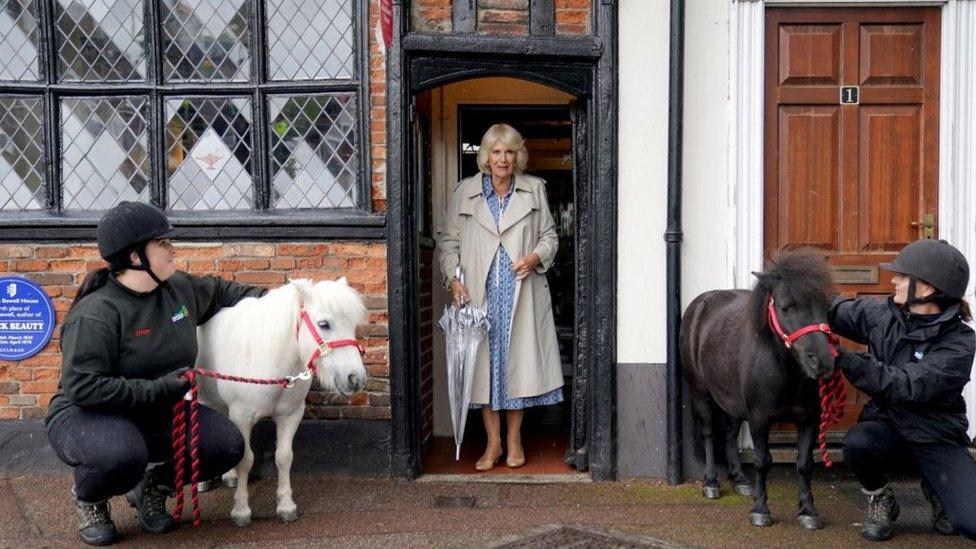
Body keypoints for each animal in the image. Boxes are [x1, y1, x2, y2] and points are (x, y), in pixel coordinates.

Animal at [196, 278, 368, 528]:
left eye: (354, 325)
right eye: (324, 324)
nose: (356, 379)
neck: (267, 357)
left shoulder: (290, 415)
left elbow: (284, 458)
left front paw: (286, 507)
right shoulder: (242, 416)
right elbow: (246, 460)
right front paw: (241, 511)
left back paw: (229, 476)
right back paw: (202, 482)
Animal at [684, 249, 836, 532]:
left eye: (827, 306)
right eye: (786, 306)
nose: (822, 362)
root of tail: (699, 304)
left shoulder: (809, 420)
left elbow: (804, 464)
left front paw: (808, 511)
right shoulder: (759, 419)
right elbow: (763, 461)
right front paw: (760, 511)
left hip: (730, 400)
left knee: (730, 434)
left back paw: (740, 481)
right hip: (701, 393)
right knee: (709, 433)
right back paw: (711, 483)